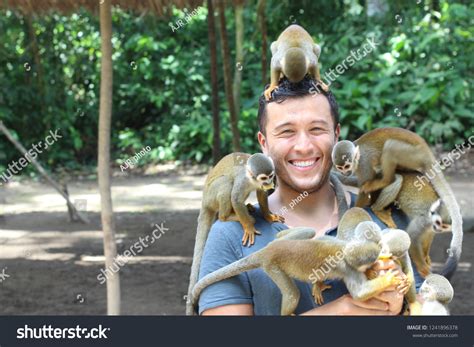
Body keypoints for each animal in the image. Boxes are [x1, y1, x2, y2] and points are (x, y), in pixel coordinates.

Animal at [184, 154, 282, 316]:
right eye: (263, 178)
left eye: (270, 176)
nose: (269, 183)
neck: (251, 180)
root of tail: (204, 200)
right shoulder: (242, 181)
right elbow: (235, 198)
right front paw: (249, 227)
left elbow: (261, 194)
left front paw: (268, 216)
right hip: (211, 195)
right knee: (227, 183)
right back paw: (227, 216)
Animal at [191, 228, 402, 316]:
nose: (377, 258)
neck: (345, 251)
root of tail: (268, 250)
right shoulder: (349, 269)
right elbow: (359, 293)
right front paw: (389, 279)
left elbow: (324, 239)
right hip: (272, 265)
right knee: (293, 294)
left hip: (282, 243)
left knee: (308, 232)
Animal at [332, 127, 462, 280]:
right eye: (340, 167)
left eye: (347, 165)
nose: (345, 172)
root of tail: (428, 154)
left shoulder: (363, 163)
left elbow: (364, 188)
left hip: (413, 156)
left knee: (391, 147)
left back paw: (385, 182)